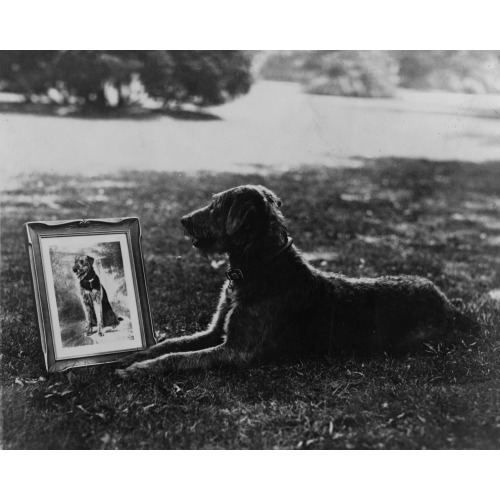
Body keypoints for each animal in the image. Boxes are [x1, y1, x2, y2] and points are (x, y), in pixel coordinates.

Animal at [115, 185, 474, 378]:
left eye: (216, 205)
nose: (183, 220)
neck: (258, 268)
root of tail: (449, 304)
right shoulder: (215, 332)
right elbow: (171, 344)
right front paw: (132, 355)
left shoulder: (236, 350)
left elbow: (181, 358)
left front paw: (140, 369)